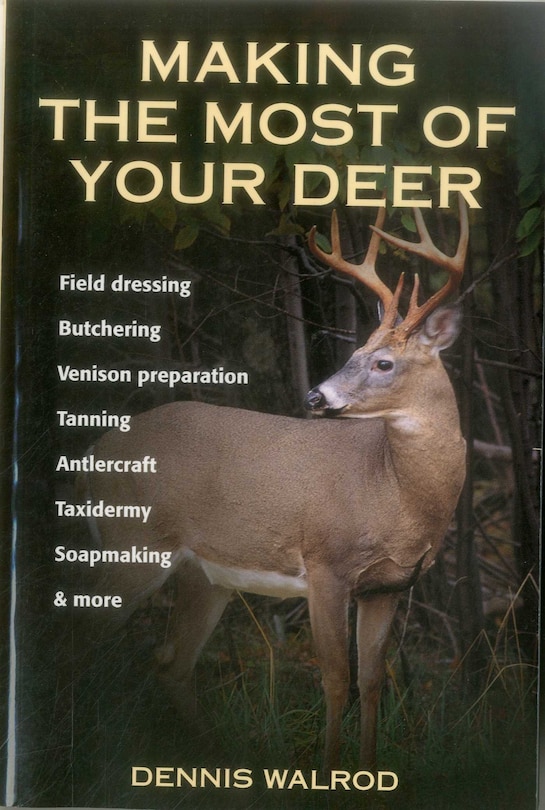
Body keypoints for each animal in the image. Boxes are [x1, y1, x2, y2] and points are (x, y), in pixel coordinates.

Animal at [79, 198, 468, 772]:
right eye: (353, 352)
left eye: (383, 361)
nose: (315, 396)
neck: (394, 493)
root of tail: (90, 454)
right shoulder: (327, 566)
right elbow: (336, 680)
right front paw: (329, 774)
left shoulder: (389, 586)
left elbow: (373, 681)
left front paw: (369, 773)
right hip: (132, 545)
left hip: (205, 574)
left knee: (171, 661)